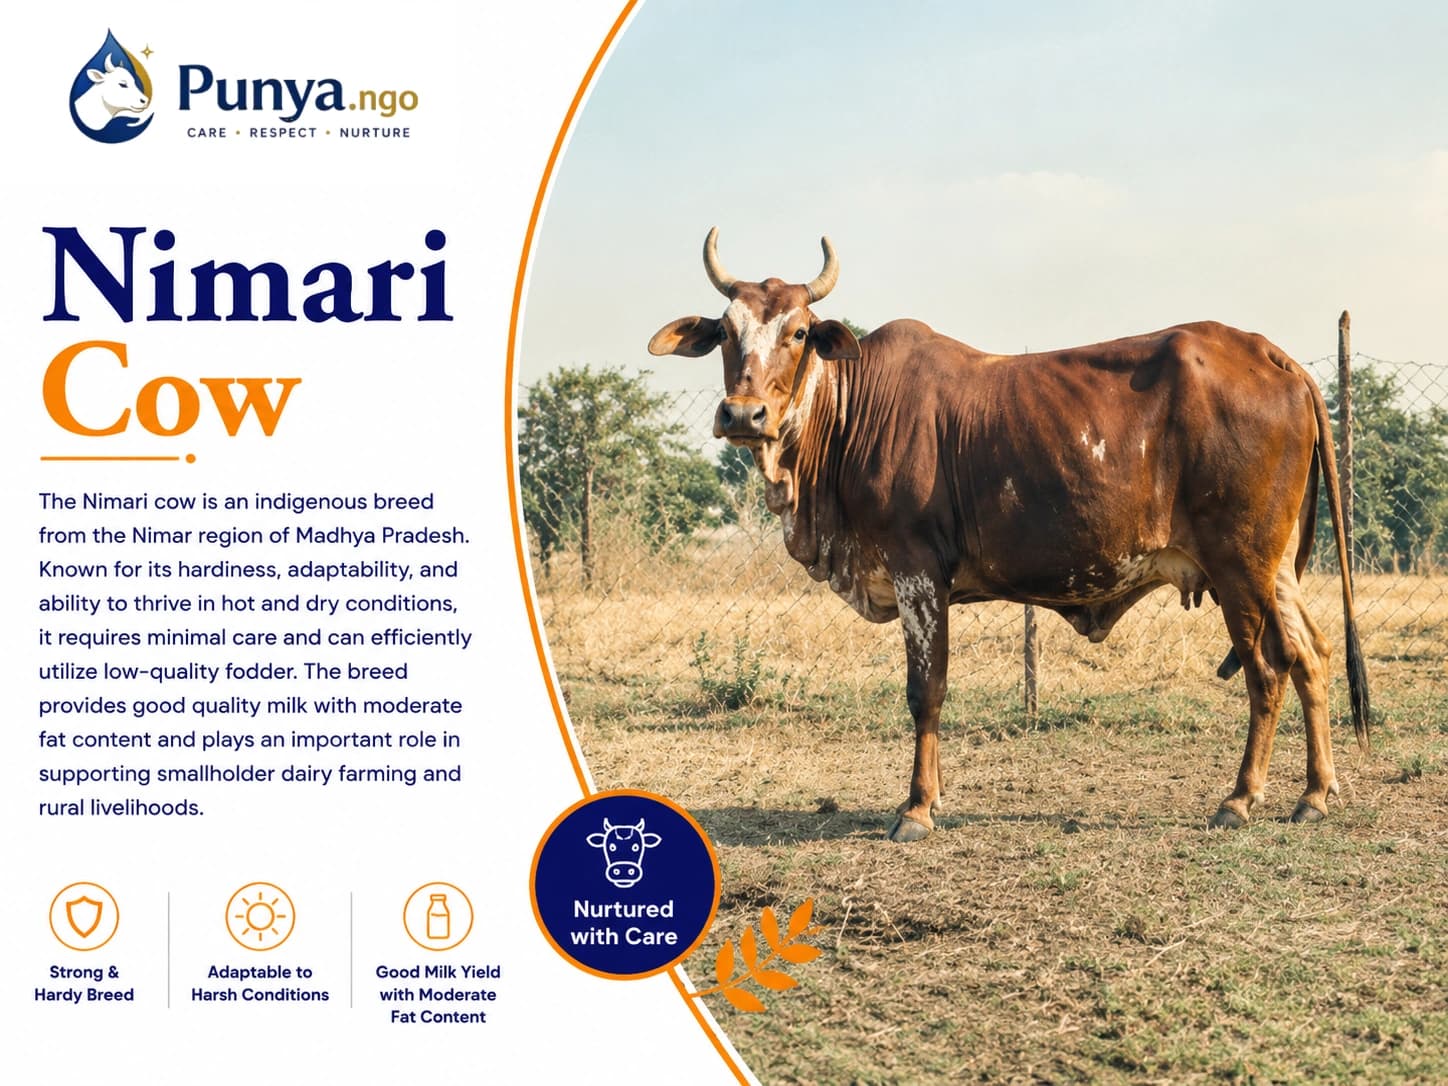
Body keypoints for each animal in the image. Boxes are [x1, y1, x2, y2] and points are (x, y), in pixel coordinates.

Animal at [649, 228, 1370, 842]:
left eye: (798, 332)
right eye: (725, 332)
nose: (744, 414)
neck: (851, 416)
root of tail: (1276, 358)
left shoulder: (917, 571)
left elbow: (926, 690)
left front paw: (916, 807)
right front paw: (932, 795)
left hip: (1238, 563)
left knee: (1267, 670)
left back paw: (1240, 798)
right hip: (1274, 568)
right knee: (1312, 657)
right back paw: (1314, 793)